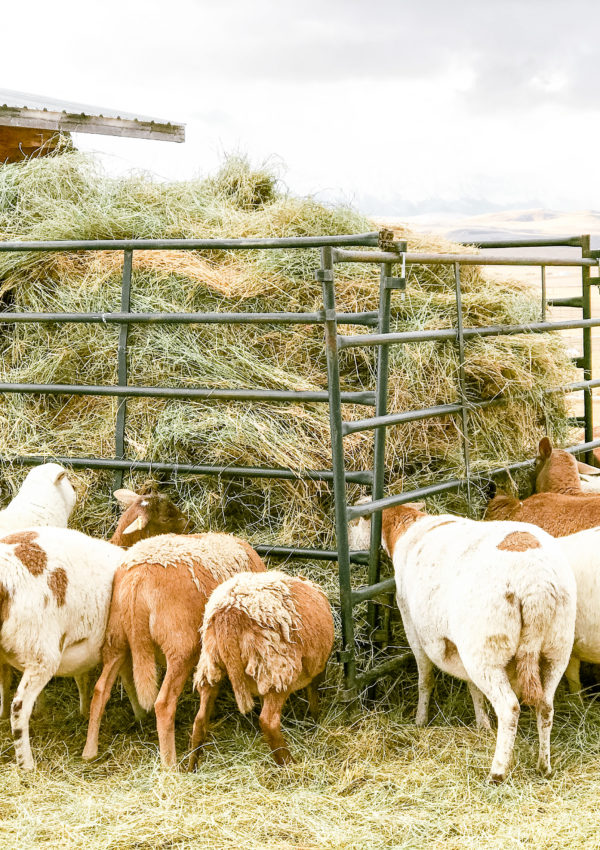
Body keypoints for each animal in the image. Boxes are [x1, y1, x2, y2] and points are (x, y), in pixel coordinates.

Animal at [82, 528, 268, 764]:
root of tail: (137, 578)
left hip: (116, 639)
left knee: (100, 690)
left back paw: (89, 751)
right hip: (180, 649)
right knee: (163, 704)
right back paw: (169, 764)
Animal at [190, 568, 336, 764]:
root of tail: (229, 614)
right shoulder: (317, 668)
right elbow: (313, 695)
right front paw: (316, 721)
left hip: (210, 664)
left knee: (200, 720)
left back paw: (191, 766)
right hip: (278, 668)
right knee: (269, 721)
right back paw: (289, 764)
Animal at [350, 500, 576, 780]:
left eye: (354, 521)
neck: (407, 528)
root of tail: (535, 585)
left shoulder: (412, 626)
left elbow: (425, 679)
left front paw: (420, 720)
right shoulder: (459, 647)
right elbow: (473, 688)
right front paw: (482, 725)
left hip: (487, 650)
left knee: (509, 709)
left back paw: (498, 771)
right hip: (556, 649)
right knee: (545, 706)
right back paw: (544, 766)